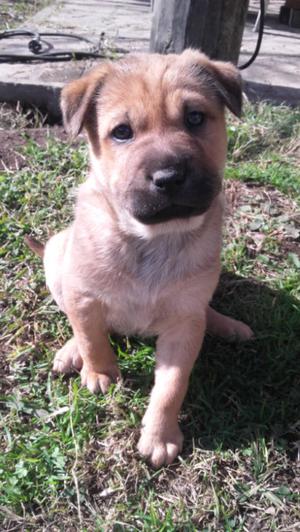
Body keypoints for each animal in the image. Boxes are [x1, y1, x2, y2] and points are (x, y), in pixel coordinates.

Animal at [27, 50, 253, 466]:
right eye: (122, 132)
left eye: (195, 118)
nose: (169, 177)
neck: (150, 239)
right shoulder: (84, 295)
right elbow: (91, 336)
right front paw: (100, 373)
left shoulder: (183, 323)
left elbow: (172, 384)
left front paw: (160, 436)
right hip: (56, 257)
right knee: (76, 321)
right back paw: (70, 353)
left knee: (205, 311)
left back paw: (227, 325)